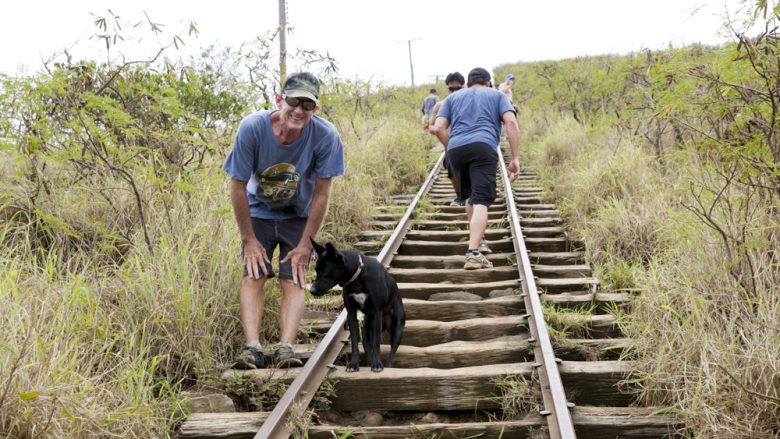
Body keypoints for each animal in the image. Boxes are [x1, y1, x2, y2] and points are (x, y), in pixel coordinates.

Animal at [310, 239, 408, 372]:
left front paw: (377, 364)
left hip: (397, 328)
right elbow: (355, 342)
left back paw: (385, 365)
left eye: (324, 272)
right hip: (366, 330)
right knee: (368, 348)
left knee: (391, 353)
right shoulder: (351, 314)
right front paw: (353, 364)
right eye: (315, 270)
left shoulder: (377, 313)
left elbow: (376, 344)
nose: (311, 291)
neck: (357, 278)